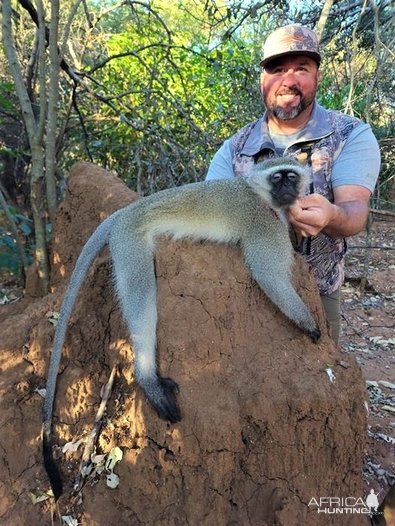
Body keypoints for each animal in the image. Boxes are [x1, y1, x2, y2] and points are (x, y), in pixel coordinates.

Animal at [43, 157, 322, 500]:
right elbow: (270, 276)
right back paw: (147, 378)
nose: (286, 190)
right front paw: (309, 325)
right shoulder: (263, 224)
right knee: (142, 301)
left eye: (291, 177)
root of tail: (125, 212)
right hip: (129, 243)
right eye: (278, 177)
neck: (257, 194)